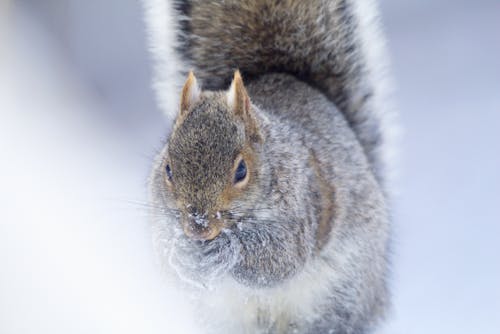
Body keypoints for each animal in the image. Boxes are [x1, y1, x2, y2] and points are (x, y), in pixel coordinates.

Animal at [144, 0, 394, 334]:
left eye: (241, 171)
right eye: (168, 169)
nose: (198, 227)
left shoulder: (303, 203)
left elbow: (280, 258)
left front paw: (227, 250)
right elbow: (166, 263)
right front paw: (180, 255)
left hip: (341, 296)